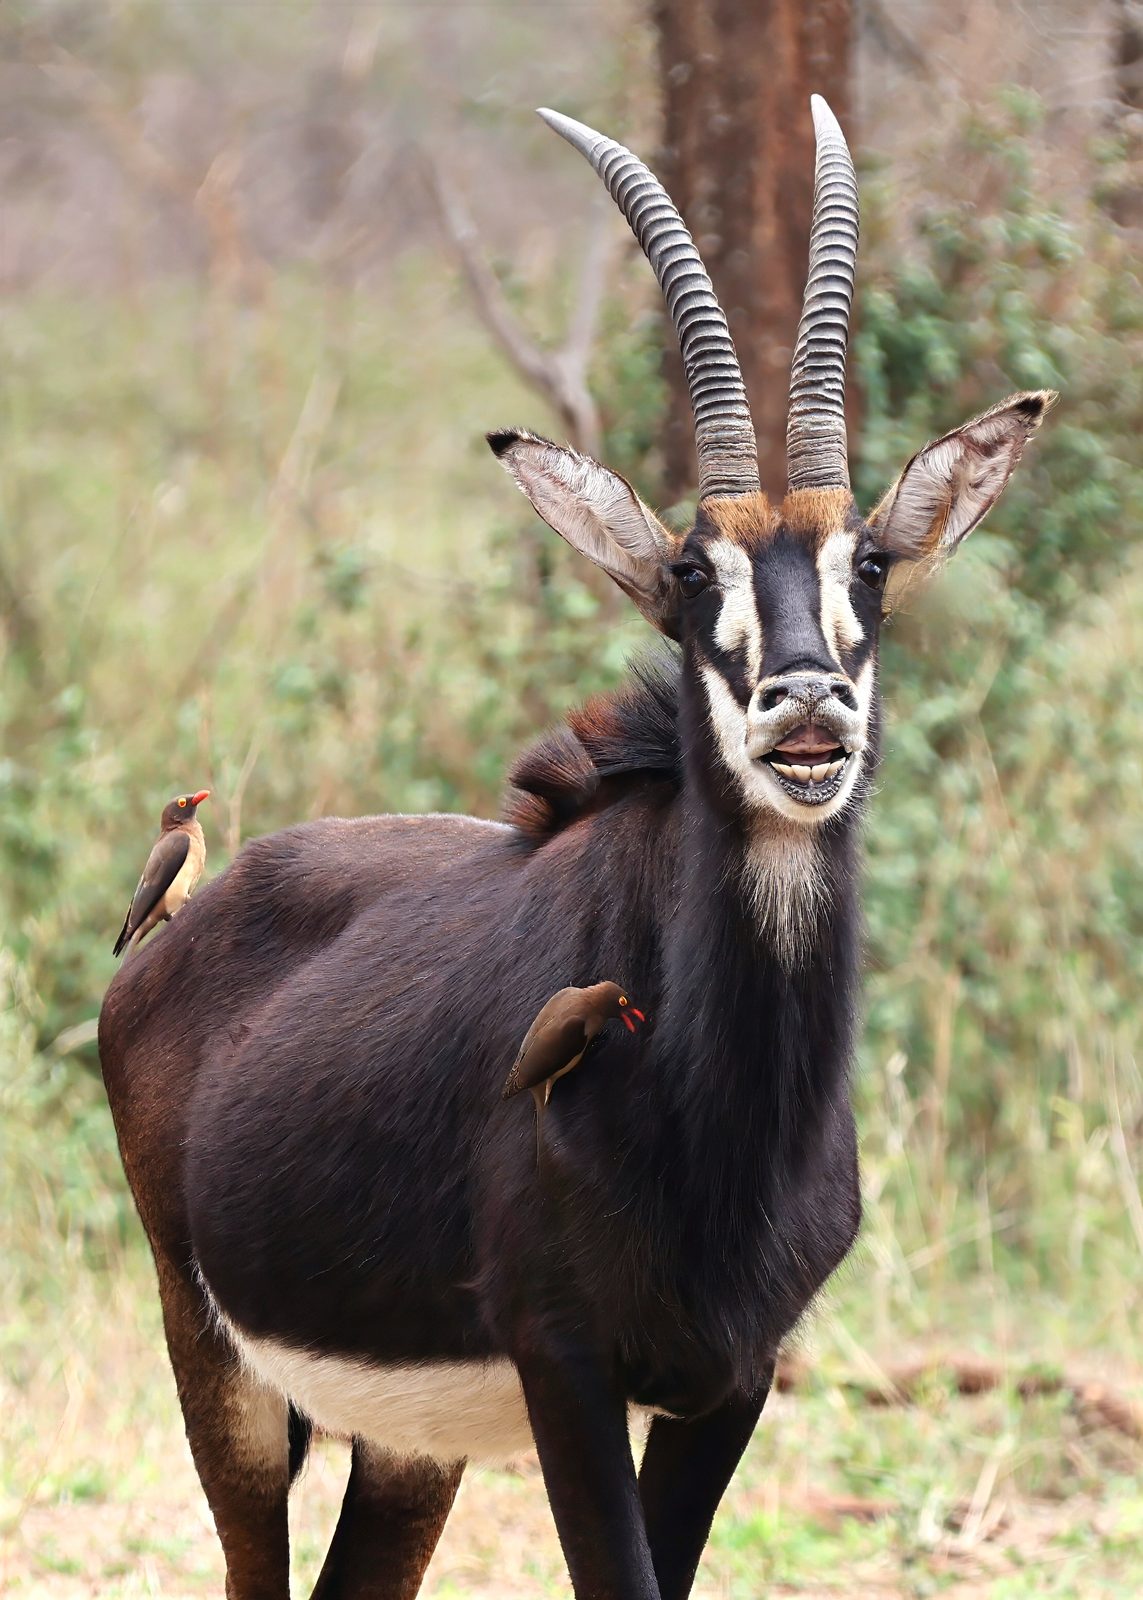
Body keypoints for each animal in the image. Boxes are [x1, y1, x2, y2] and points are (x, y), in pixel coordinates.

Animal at [99, 98, 1053, 1600]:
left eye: (868, 564)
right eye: (689, 572)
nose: (805, 707)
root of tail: (173, 941)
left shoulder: (731, 1381)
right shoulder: (569, 1368)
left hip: (408, 1443)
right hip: (221, 1369)